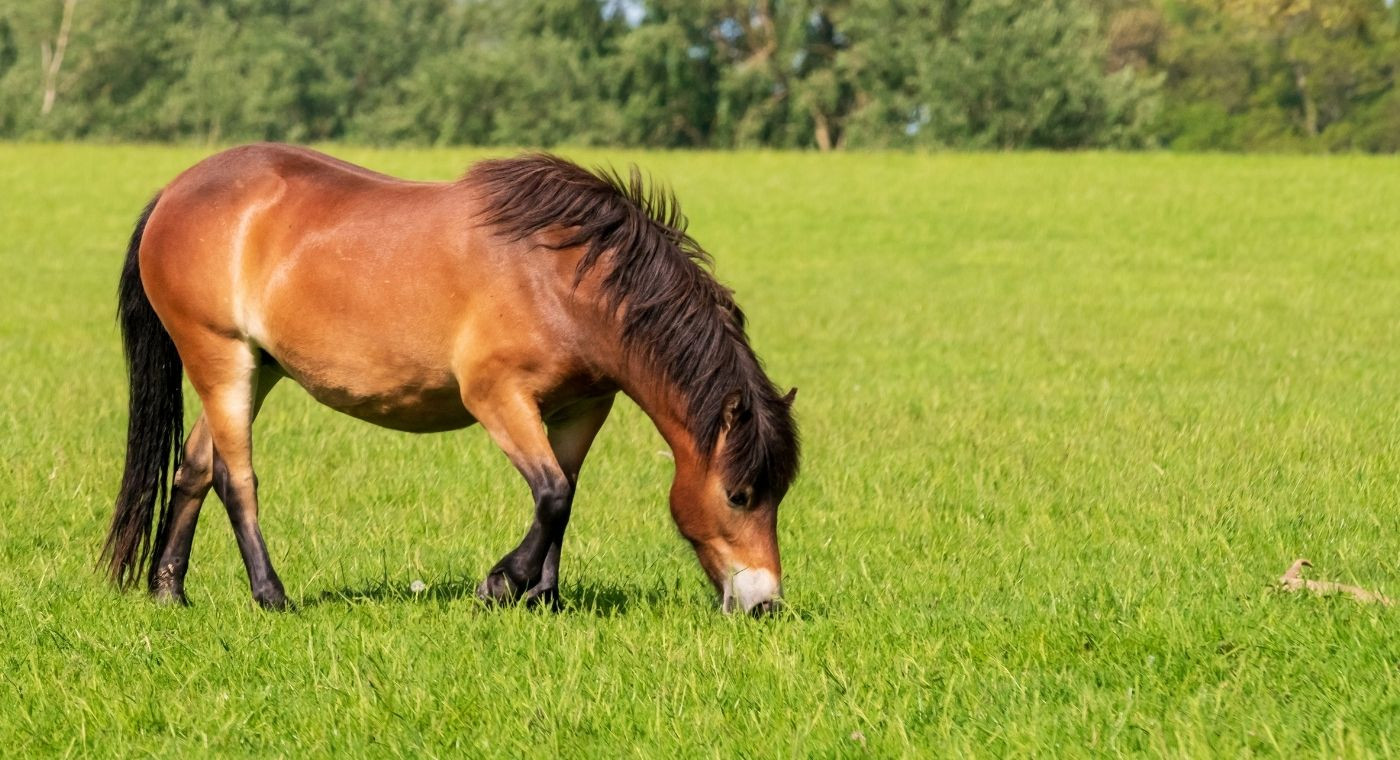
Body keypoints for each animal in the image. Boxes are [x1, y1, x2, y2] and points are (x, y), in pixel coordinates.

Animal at [100, 144, 799, 615]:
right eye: (740, 495)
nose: (765, 604)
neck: (566, 278)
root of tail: (174, 192)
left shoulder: (581, 408)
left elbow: (565, 496)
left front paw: (544, 598)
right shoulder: (497, 397)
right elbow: (551, 494)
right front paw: (500, 585)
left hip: (257, 367)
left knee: (194, 468)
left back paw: (168, 590)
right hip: (219, 357)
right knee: (234, 479)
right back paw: (271, 596)